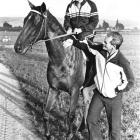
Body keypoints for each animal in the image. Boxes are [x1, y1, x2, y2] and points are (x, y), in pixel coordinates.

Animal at [14, 0, 85, 139]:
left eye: (36, 22)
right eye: (25, 20)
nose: (17, 47)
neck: (64, 59)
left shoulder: (74, 91)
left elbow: (71, 115)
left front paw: (69, 134)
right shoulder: (53, 88)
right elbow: (46, 112)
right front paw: (47, 135)